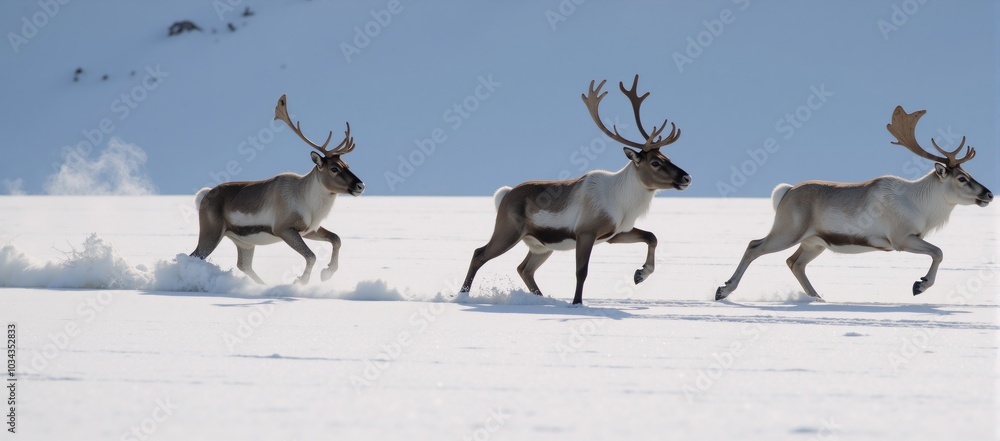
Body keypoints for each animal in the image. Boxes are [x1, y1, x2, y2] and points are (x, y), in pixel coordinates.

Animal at [189, 94, 365, 284]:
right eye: (334, 168)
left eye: (347, 165)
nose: (360, 185)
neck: (307, 199)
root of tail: (204, 195)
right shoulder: (283, 229)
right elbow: (311, 255)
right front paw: (301, 280)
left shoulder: (308, 229)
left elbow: (336, 239)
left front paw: (327, 273)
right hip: (212, 232)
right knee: (194, 256)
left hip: (244, 242)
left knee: (244, 265)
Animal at [459, 75, 692, 305]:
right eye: (655, 162)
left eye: (668, 157)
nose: (686, 177)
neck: (622, 201)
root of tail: (505, 194)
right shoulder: (586, 232)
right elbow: (582, 272)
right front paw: (578, 304)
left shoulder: (614, 233)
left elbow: (652, 236)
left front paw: (640, 274)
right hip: (508, 231)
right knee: (479, 254)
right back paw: (462, 295)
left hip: (541, 245)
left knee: (524, 269)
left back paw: (543, 300)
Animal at [715, 106, 993, 301]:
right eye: (961, 178)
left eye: (969, 173)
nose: (989, 194)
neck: (922, 206)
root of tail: (785, 192)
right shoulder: (901, 238)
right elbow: (939, 251)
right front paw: (919, 285)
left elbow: (938, 252)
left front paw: (920, 284)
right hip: (788, 231)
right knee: (754, 246)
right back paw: (723, 290)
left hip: (814, 242)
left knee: (795, 263)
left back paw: (818, 299)